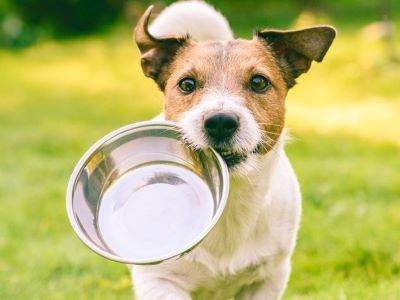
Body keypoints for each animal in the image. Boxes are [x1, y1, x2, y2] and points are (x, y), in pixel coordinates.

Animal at [130, 1, 334, 298]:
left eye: (259, 82)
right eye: (187, 84)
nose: (220, 122)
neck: (230, 200)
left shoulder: (269, 278)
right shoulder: (159, 279)